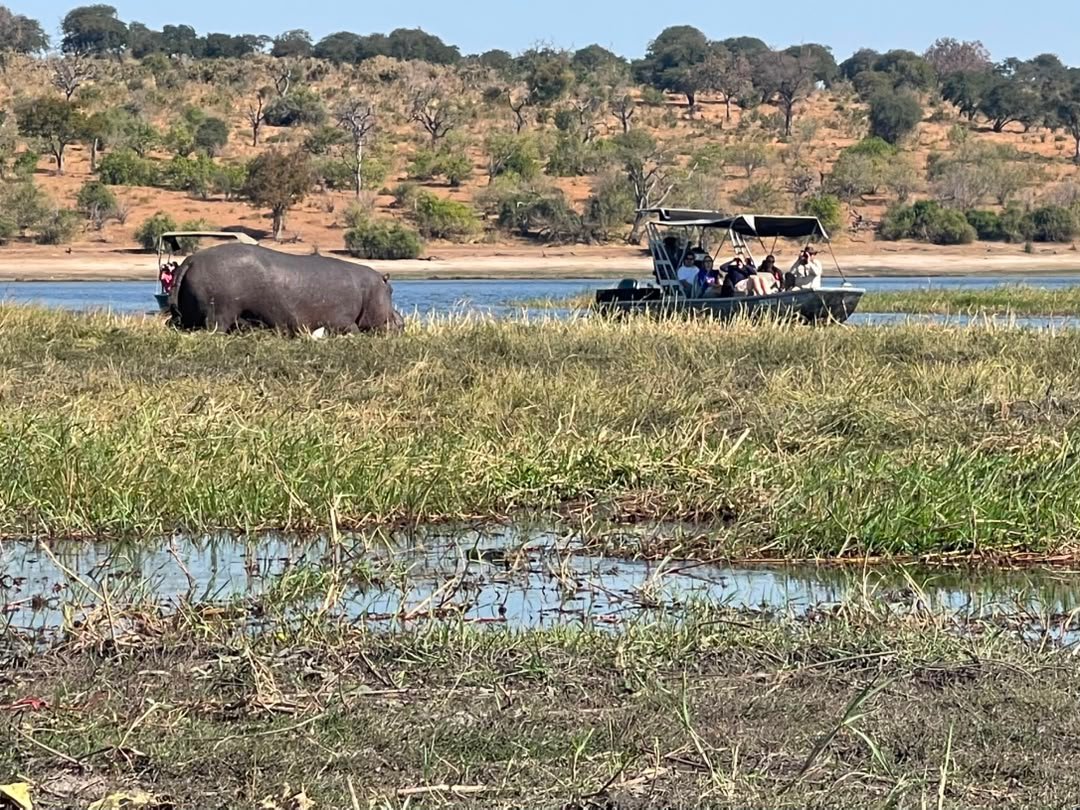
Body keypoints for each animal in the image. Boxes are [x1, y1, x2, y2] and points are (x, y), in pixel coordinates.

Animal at [169, 244, 404, 335]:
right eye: (391, 291)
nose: (401, 321)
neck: (369, 290)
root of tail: (190, 260)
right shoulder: (342, 320)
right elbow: (353, 329)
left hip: (188, 317)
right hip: (219, 312)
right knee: (214, 328)